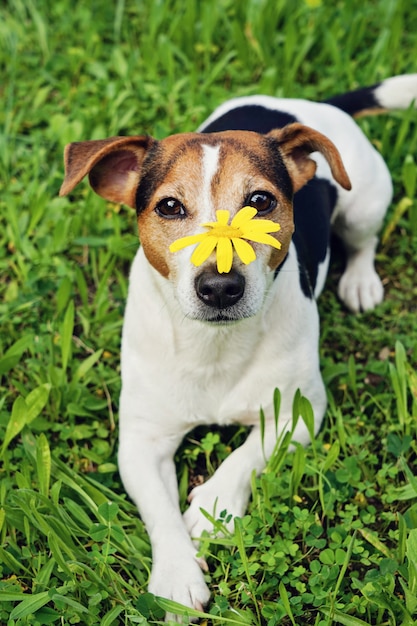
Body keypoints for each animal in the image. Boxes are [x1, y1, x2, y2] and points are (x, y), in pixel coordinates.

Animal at [59, 73, 416, 616]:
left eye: (261, 202)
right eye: (169, 206)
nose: (221, 286)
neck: (214, 344)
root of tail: (309, 105)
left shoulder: (299, 411)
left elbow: (247, 457)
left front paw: (212, 508)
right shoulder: (141, 441)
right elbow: (159, 510)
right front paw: (176, 573)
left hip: (365, 202)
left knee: (363, 241)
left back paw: (360, 280)